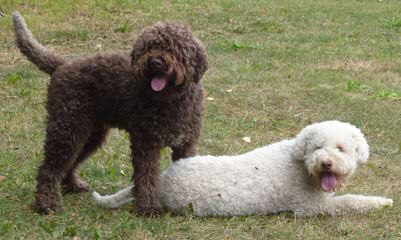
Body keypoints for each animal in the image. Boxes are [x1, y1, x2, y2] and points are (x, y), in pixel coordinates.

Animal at [12, 12, 206, 216]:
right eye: (148, 48)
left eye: (173, 49)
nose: (155, 62)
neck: (171, 100)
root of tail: (62, 65)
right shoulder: (146, 144)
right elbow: (147, 176)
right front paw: (149, 207)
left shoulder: (186, 143)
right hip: (67, 128)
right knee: (48, 168)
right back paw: (47, 203)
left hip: (89, 134)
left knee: (70, 162)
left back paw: (73, 185)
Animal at [92, 121, 392, 217]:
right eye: (317, 147)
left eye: (340, 148)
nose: (326, 163)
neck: (302, 166)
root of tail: (164, 178)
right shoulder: (311, 208)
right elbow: (351, 201)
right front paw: (383, 202)